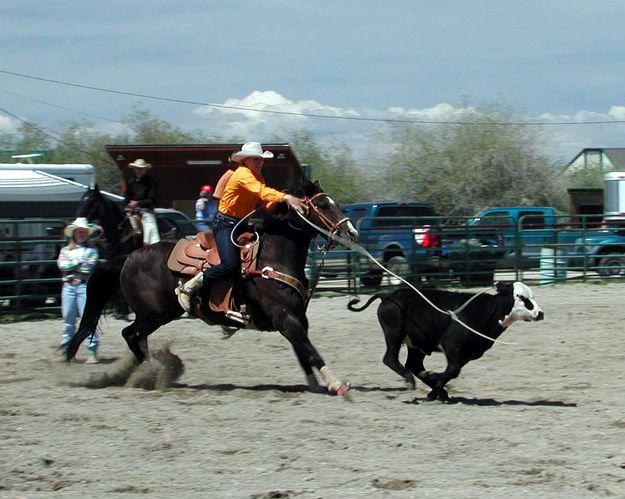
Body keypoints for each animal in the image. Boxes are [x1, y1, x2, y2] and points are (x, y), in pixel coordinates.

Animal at [66, 180, 358, 394]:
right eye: (322, 204)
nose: (351, 233)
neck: (273, 255)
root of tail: (128, 257)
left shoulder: (295, 319)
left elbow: (303, 351)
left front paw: (314, 384)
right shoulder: (287, 319)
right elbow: (311, 351)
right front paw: (337, 384)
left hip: (154, 315)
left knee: (136, 337)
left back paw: (147, 371)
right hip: (154, 313)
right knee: (130, 334)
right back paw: (149, 372)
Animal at [346, 284, 540, 400]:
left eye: (533, 296)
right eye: (521, 297)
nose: (540, 313)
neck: (484, 312)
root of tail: (387, 295)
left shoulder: (467, 354)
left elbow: (452, 372)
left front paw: (436, 391)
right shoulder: (451, 344)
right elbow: (453, 370)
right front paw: (432, 378)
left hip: (416, 344)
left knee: (413, 364)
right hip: (393, 332)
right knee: (390, 358)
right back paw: (410, 381)